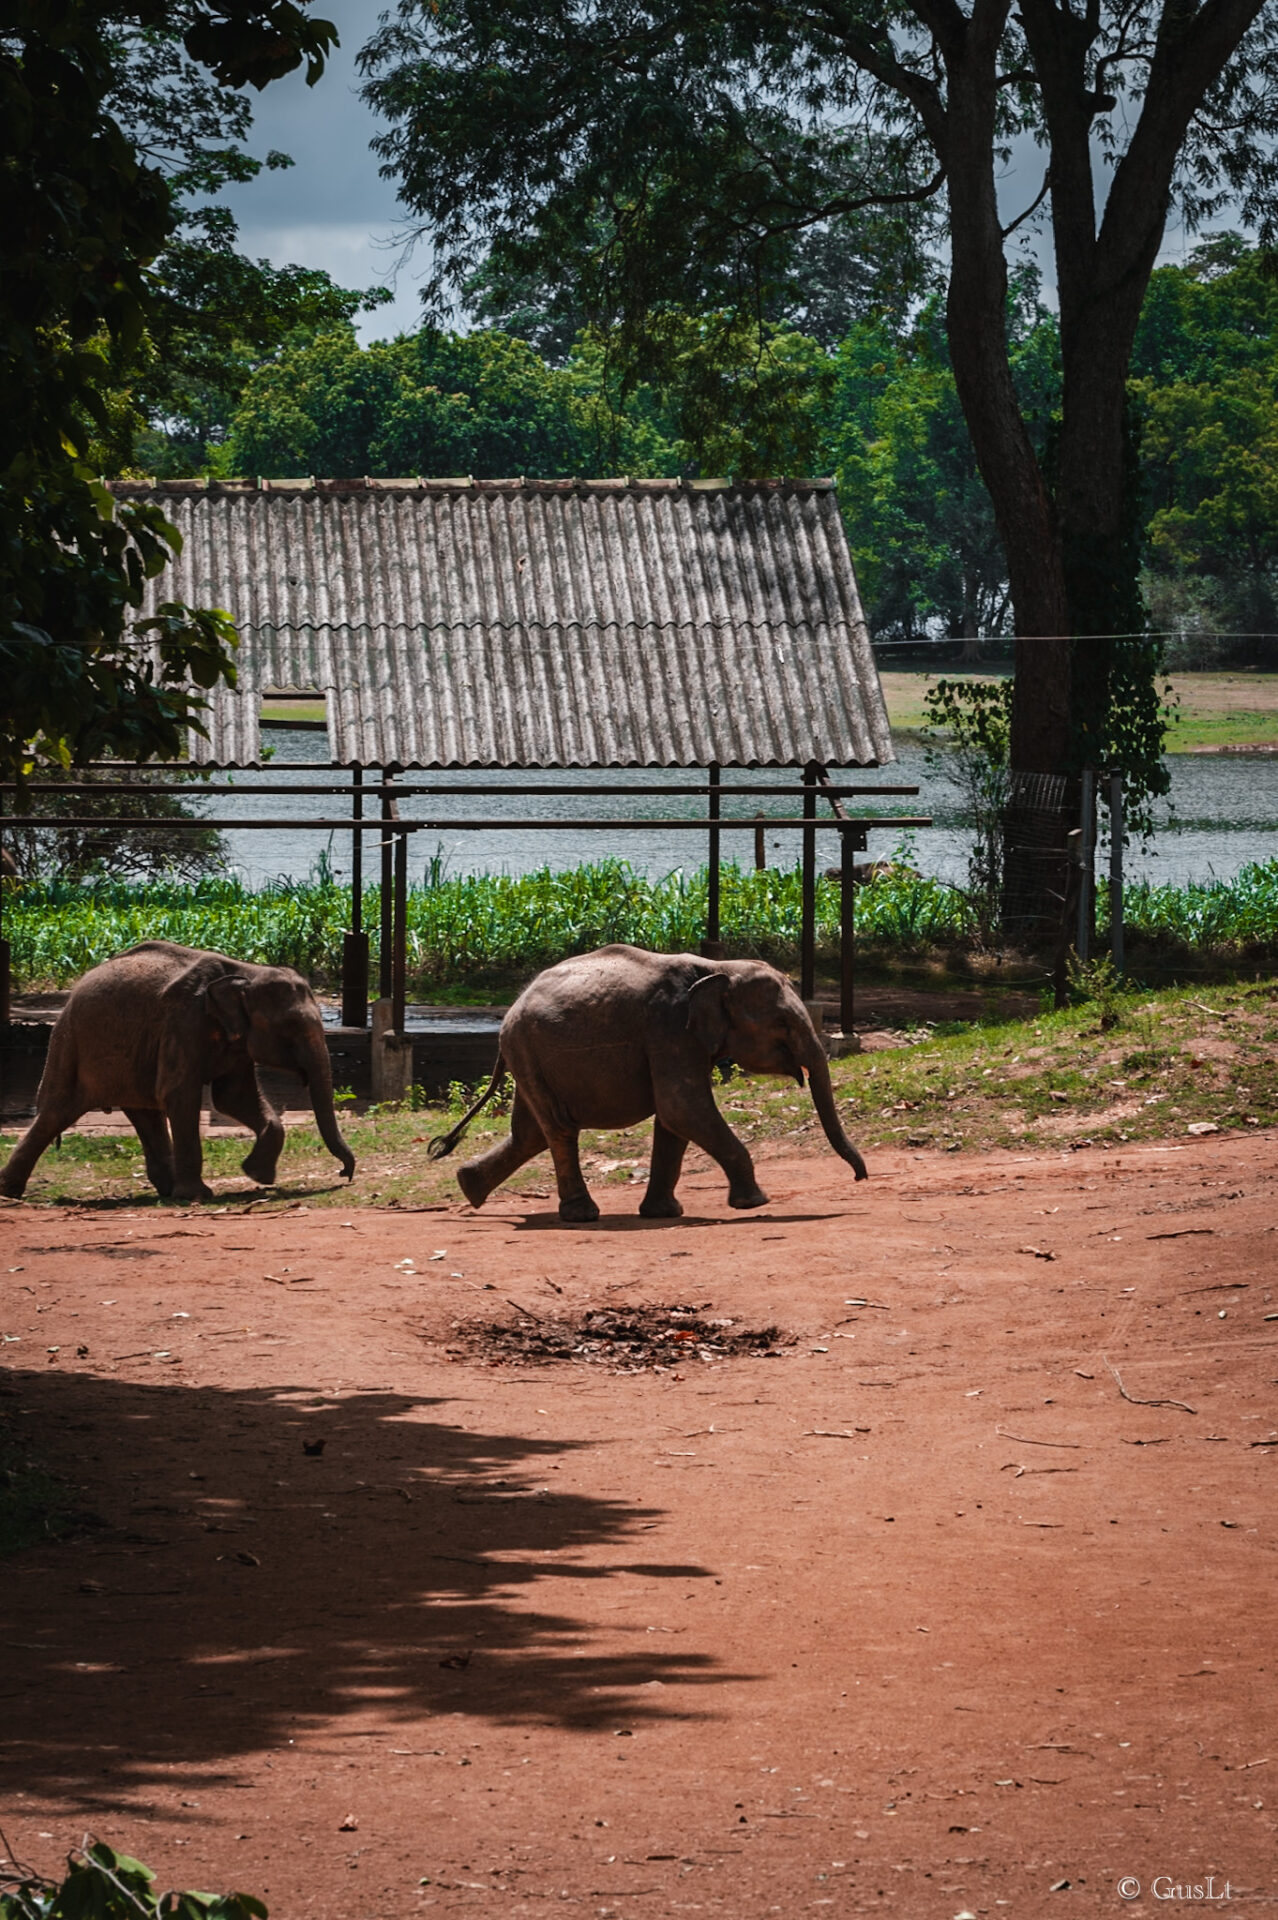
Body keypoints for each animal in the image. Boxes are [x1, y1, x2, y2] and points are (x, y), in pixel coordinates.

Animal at [1, 940, 353, 1198]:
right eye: (291, 1027)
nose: (345, 1173)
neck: (246, 972)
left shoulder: (234, 1039)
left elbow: (234, 1097)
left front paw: (258, 1175)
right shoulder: (182, 1021)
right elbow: (180, 1095)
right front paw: (199, 1195)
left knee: (145, 1114)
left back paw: (167, 1191)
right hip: (69, 1043)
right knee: (56, 1112)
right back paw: (10, 1191)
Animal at [429, 940, 867, 1221]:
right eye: (783, 1024)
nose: (860, 1177)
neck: (717, 969)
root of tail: (510, 1011)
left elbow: (674, 1122)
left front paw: (663, 1214)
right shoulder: (669, 1029)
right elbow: (682, 1108)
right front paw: (756, 1204)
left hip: (531, 1058)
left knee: (530, 1133)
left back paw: (468, 1186)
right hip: (527, 1050)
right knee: (558, 1128)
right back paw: (582, 1215)